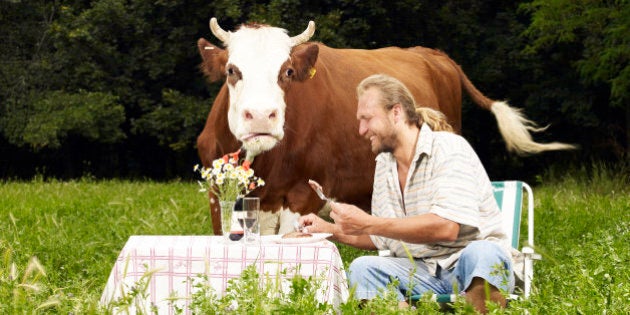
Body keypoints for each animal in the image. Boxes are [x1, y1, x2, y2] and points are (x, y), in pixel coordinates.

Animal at [198, 16, 576, 235]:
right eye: (232, 70)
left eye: (287, 72)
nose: (262, 116)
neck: (265, 164)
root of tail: (432, 53)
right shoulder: (218, 195)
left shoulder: (302, 195)